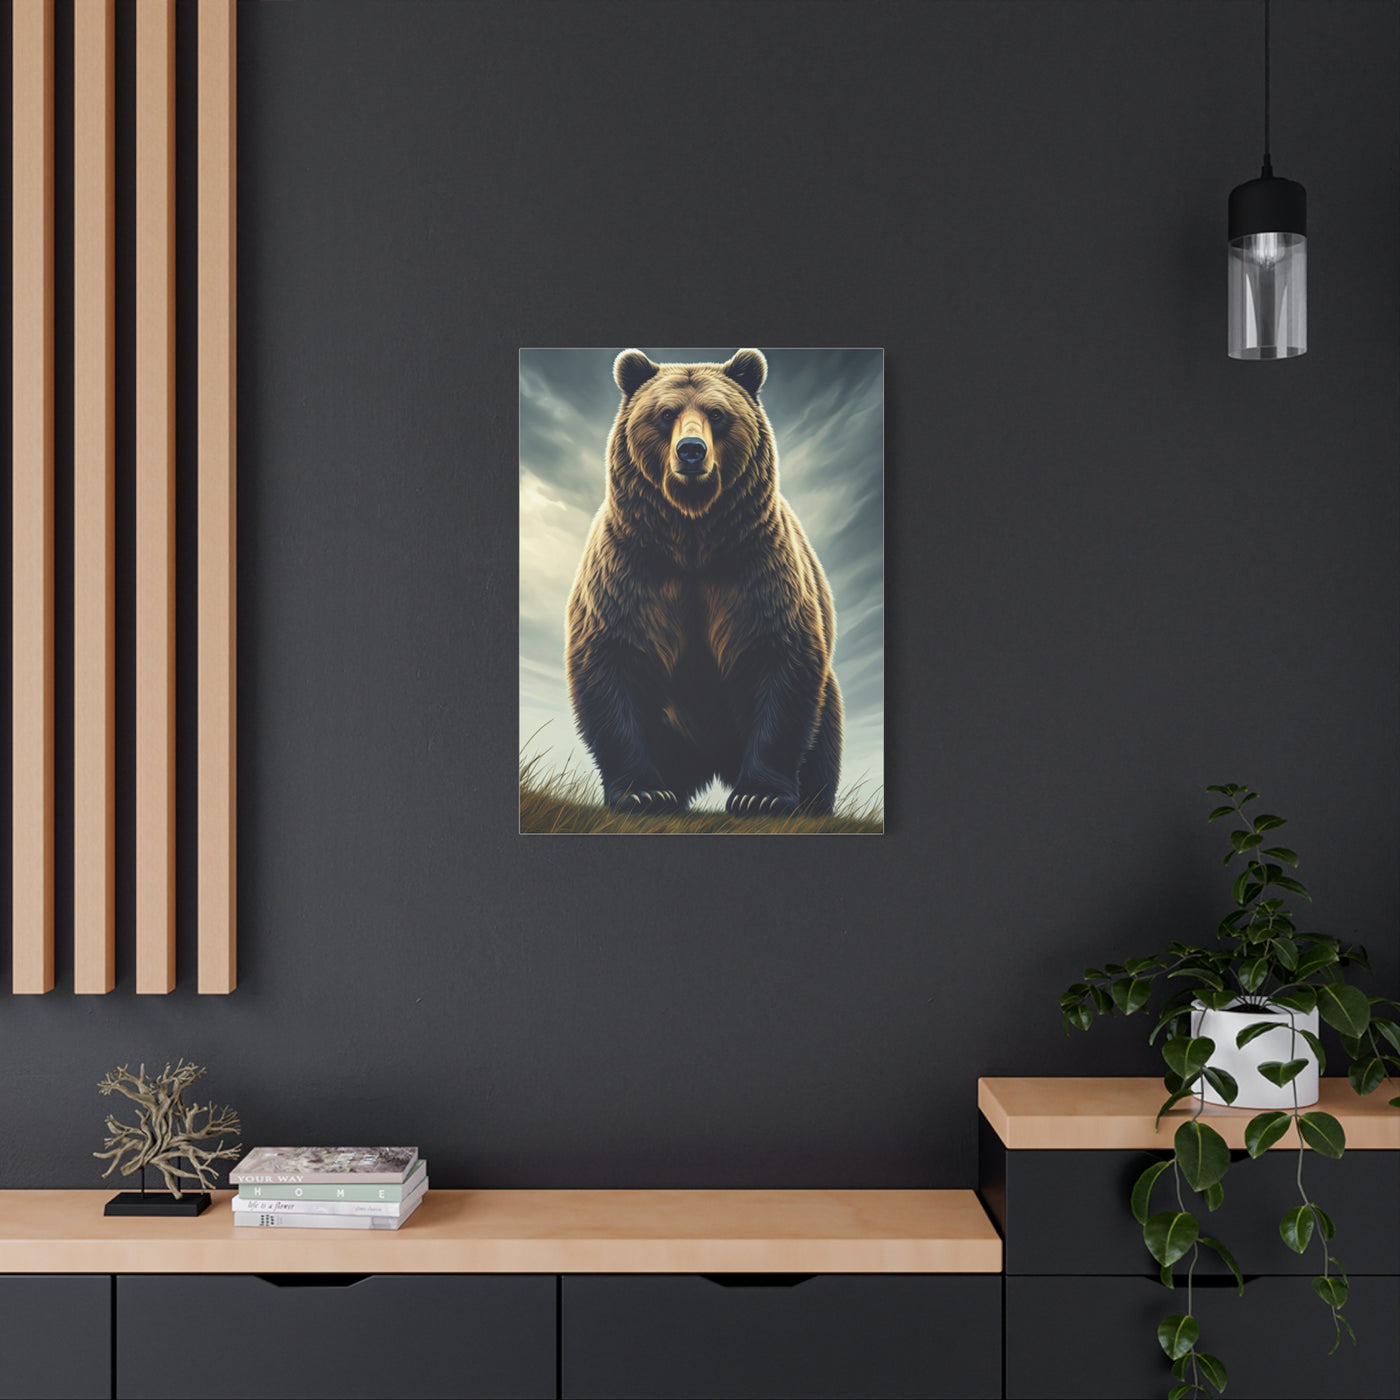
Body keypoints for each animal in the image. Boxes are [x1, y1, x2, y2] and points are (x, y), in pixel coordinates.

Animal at [565, 348, 842, 818]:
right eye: (665, 414)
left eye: (717, 413)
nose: (691, 450)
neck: (692, 538)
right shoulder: (629, 573)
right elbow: (611, 663)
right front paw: (642, 792)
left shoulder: (760, 572)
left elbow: (780, 665)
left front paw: (760, 795)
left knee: (823, 736)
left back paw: (813, 801)